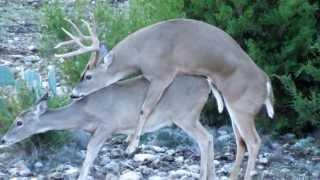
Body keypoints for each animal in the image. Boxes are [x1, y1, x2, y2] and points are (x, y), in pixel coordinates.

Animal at [0, 75, 215, 180]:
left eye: (19, 122)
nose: (3, 139)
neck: (83, 112)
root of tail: (207, 84)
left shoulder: (107, 126)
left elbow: (89, 154)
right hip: (191, 116)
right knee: (210, 137)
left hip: (185, 115)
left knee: (204, 139)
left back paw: (202, 176)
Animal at [53, 17, 274, 179]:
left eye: (88, 76)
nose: (73, 93)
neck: (140, 52)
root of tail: (267, 84)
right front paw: (130, 141)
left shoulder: (162, 75)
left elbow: (145, 108)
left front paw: (131, 145)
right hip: (232, 108)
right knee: (241, 142)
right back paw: (231, 175)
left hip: (242, 108)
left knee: (253, 141)